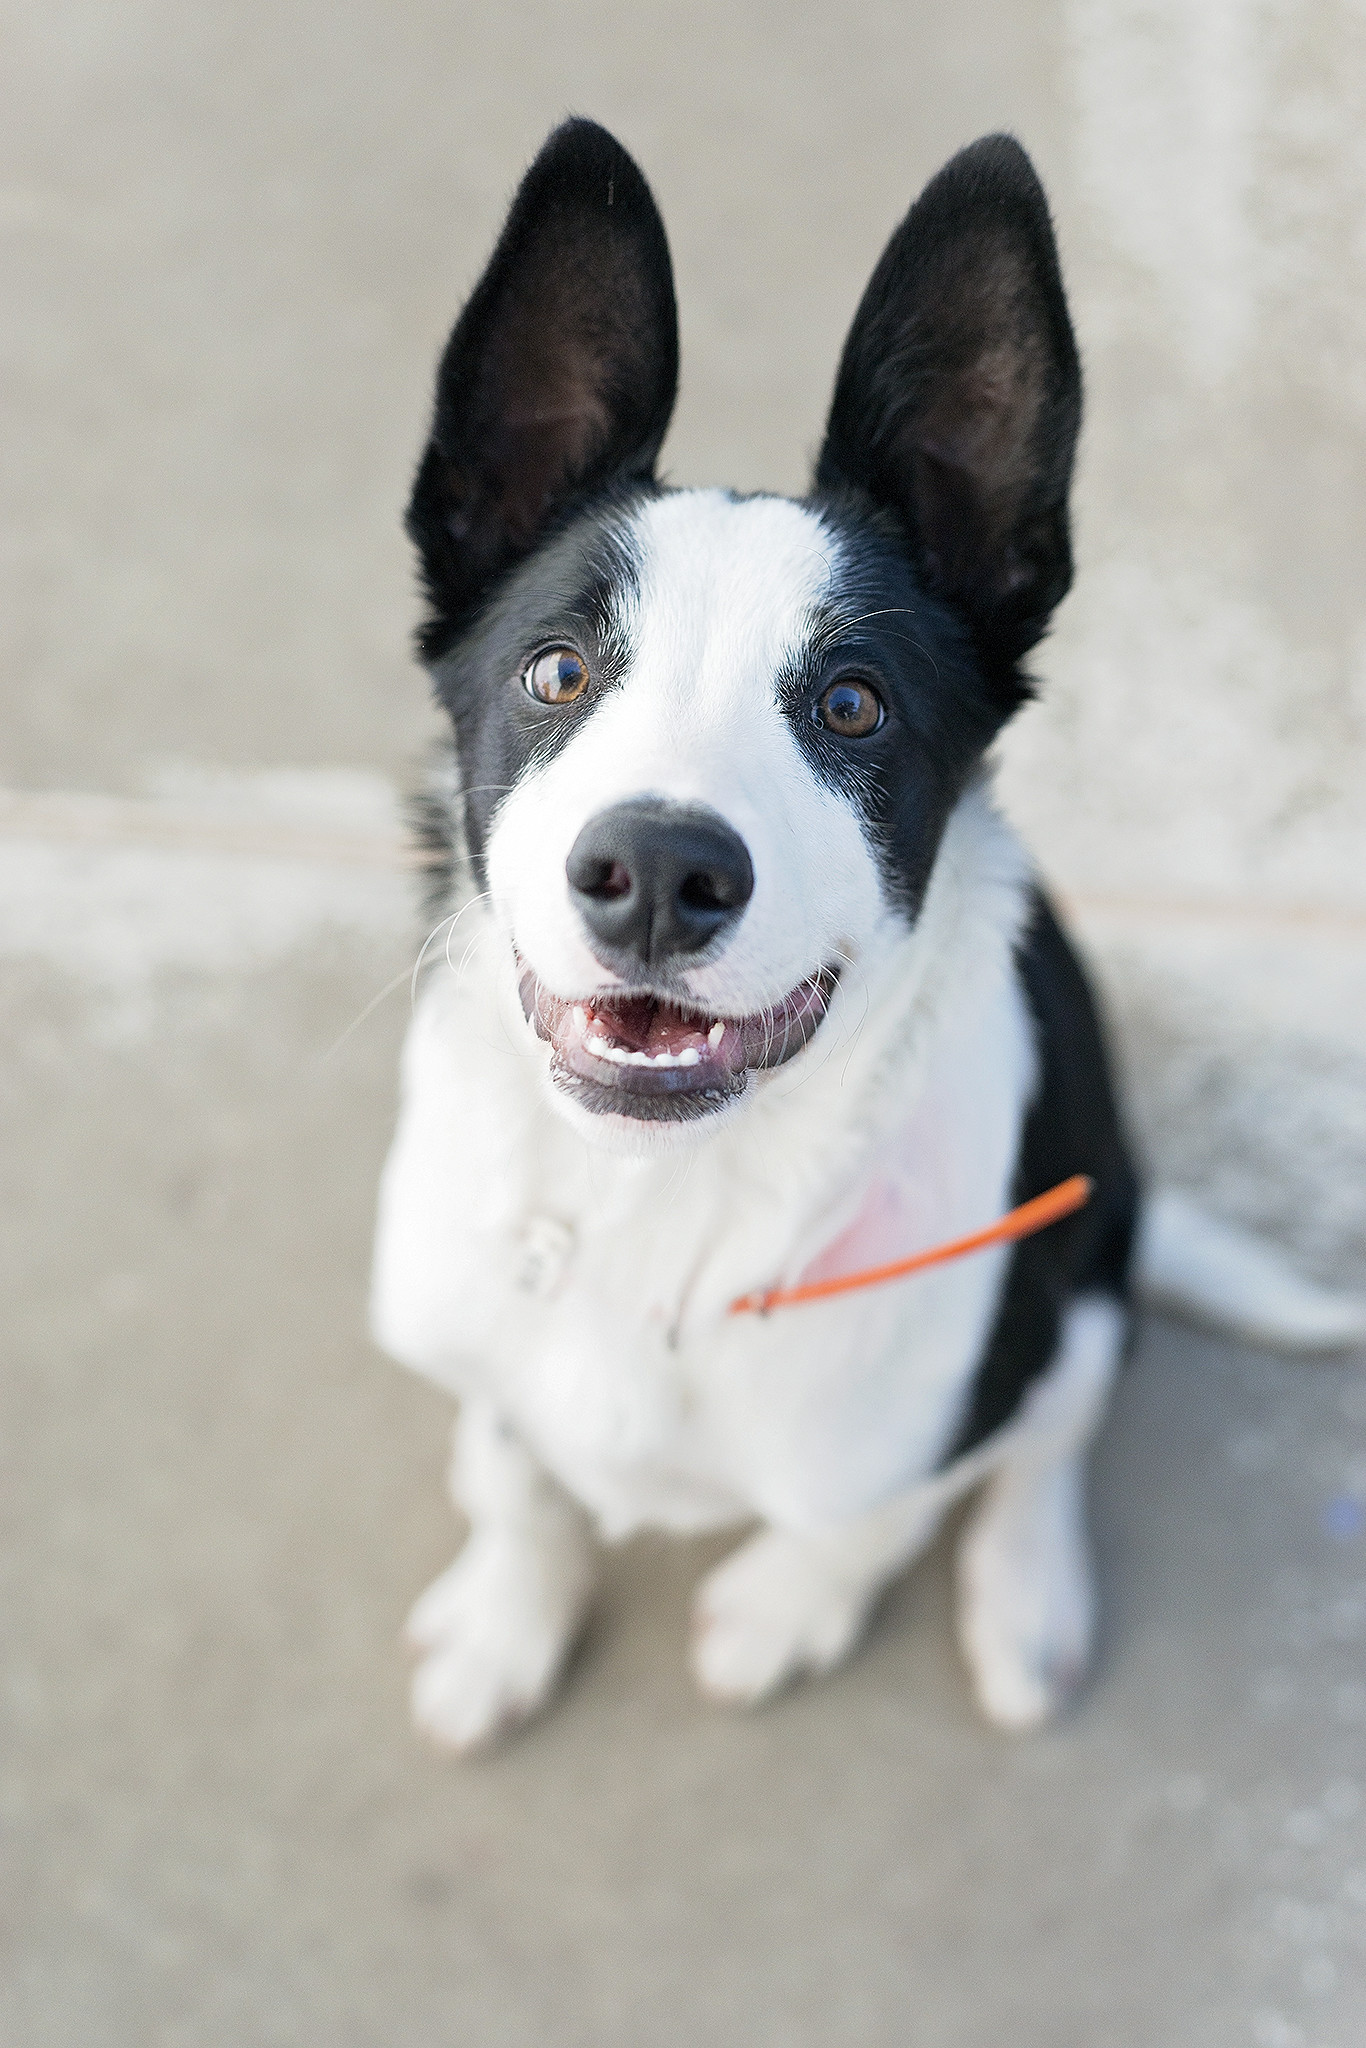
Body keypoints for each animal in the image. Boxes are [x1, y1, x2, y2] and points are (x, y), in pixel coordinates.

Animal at [371, 119, 1364, 1751]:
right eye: (556, 669)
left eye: (851, 705)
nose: (657, 870)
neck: (667, 1209)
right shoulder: (475, 1340)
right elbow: (510, 1467)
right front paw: (509, 1614)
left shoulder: (963, 1379)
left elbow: (876, 1514)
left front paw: (788, 1607)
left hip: (1087, 1231)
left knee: (1065, 1419)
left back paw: (1026, 1602)